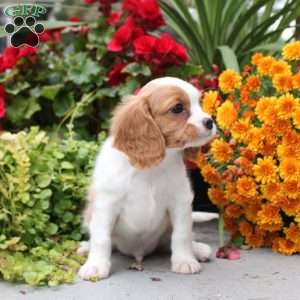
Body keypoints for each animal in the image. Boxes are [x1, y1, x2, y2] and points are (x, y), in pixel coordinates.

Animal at [78, 77, 217, 278]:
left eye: (199, 102)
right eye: (177, 108)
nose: (210, 121)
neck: (151, 168)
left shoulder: (180, 203)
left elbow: (182, 234)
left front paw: (185, 261)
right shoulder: (106, 205)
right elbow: (101, 239)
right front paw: (95, 265)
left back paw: (198, 250)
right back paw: (85, 247)